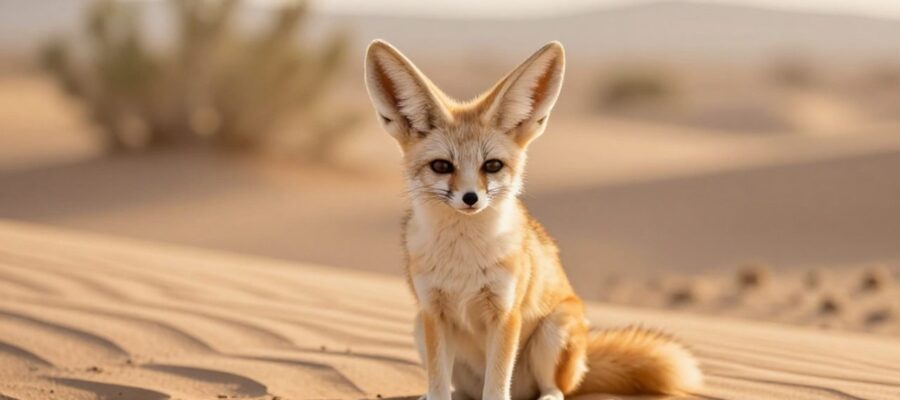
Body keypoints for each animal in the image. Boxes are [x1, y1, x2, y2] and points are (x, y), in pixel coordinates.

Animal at [364, 39, 703, 400]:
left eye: (492, 166)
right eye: (442, 166)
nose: (471, 198)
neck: (463, 261)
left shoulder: (505, 313)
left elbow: (496, 389)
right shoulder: (433, 312)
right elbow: (439, 387)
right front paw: (434, 394)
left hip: (553, 330)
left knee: (555, 389)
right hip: (419, 327)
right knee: (463, 392)